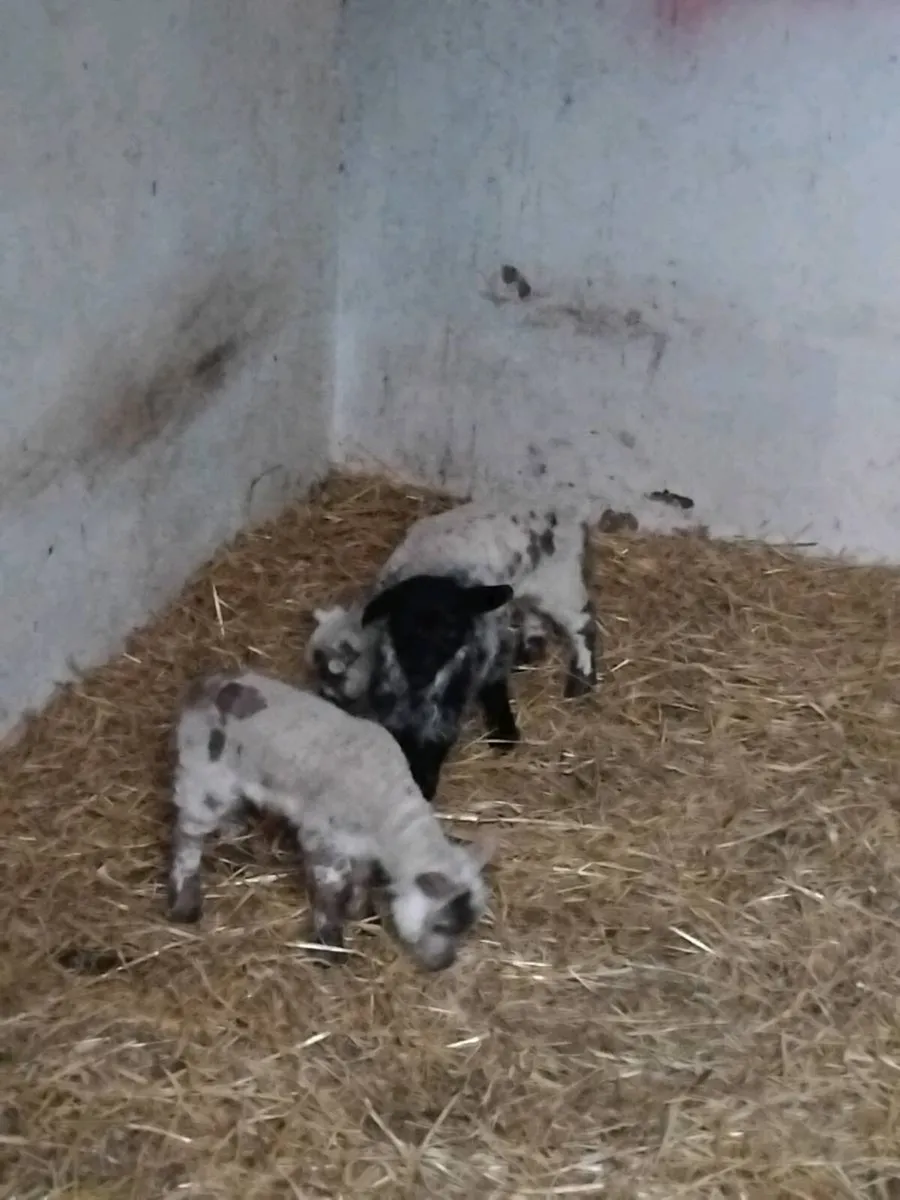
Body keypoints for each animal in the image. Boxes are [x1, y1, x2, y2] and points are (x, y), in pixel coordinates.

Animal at [166, 669, 494, 971]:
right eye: (440, 925)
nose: (444, 964)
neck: (388, 812)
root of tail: (203, 687)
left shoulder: (361, 845)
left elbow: (362, 876)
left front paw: (360, 911)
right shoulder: (324, 840)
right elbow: (330, 894)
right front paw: (331, 946)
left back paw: (235, 835)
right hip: (204, 772)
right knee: (187, 835)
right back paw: (185, 904)